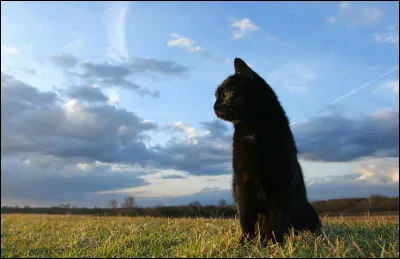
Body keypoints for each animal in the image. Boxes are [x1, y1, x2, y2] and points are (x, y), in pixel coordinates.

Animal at [212, 58, 322, 246]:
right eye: (216, 95)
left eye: (225, 93)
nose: (214, 106)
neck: (251, 129)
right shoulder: (243, 180)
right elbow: (246, 216)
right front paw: (245, 241)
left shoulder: (282, 180)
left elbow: (276, 217)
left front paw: (272, 243)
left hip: (308, 212)